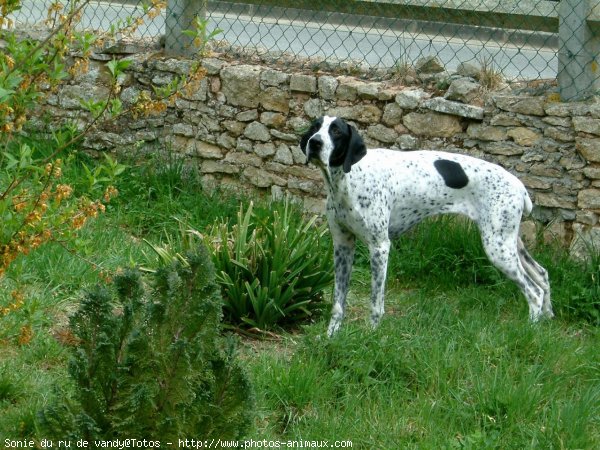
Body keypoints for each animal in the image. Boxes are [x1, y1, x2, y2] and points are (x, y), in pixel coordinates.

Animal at [300, 114, 552, 336]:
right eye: (315, 127)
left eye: (336, 131)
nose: (315, 143)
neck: (349, 178)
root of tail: (519, 186)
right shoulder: (342, 246)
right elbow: (338, 303)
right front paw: (331, 336)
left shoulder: (379, 247)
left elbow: (375, 303)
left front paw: (370, 336)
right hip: (509, 243)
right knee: (542, 275)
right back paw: (547, 320)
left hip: (498, 249)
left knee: (534, 292)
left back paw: (530, 331)